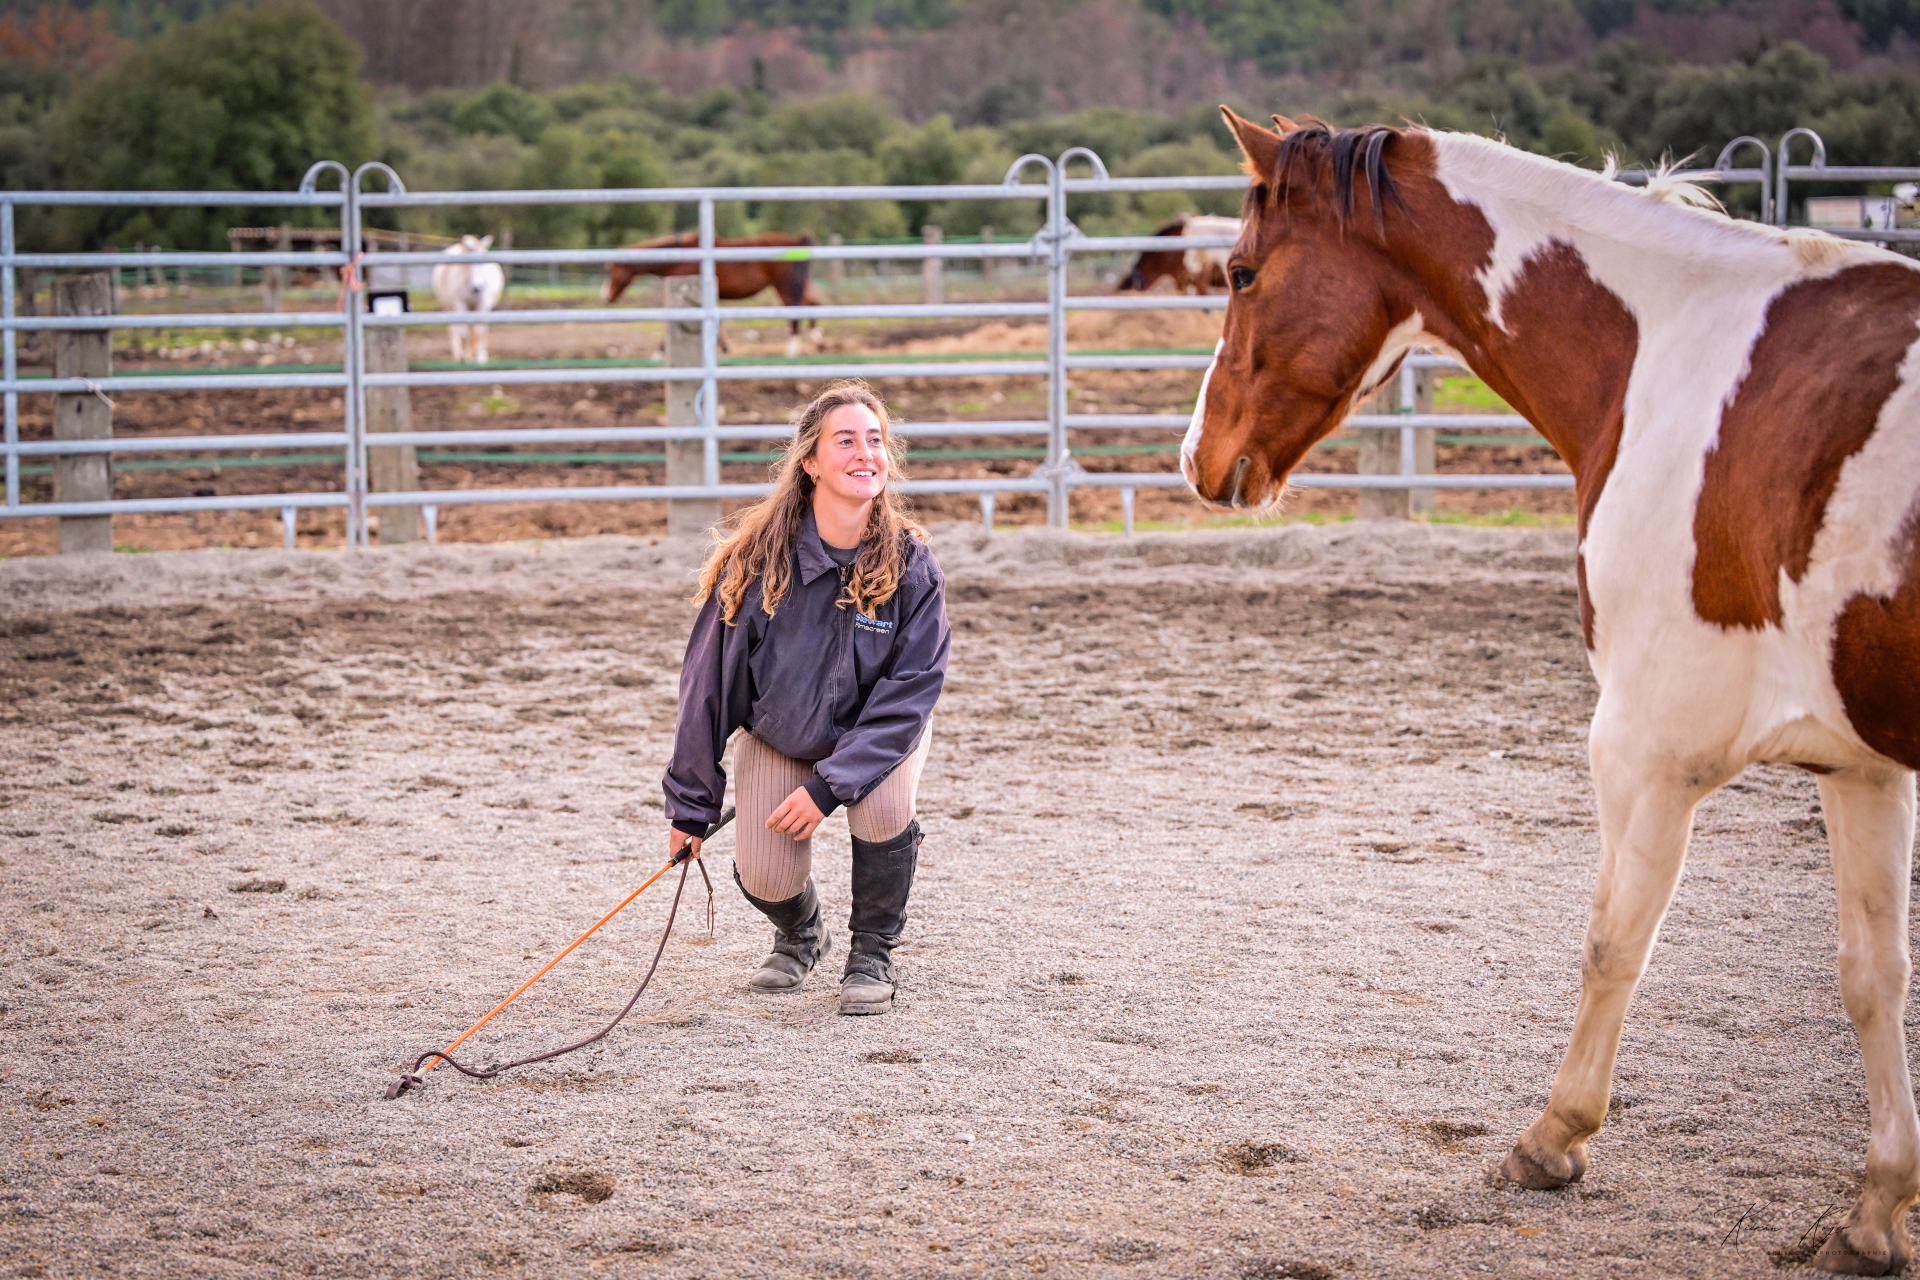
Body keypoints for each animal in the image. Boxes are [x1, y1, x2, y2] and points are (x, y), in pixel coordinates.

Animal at [430, 234, 507, 364]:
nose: (477, 287)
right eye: (469, 262)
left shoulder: (483, 305)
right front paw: (468, 357)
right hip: (450, 307)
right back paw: (458, 355)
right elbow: (464, 331)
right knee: (455, 329)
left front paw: (481, 358)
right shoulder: (461, 305)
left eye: (483, 263)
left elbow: (481, 331)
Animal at [603, 231, 822, 357]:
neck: (678, 259)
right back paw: (815, 340)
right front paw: (724, 349)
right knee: (813, 304)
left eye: (612, 270)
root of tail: (797, 241)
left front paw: (658, 353)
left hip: (785, 286)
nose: (606, 296)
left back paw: (792, 351)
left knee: (796, 311)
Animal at [1188, 108, 1920, 1276]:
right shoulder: (1859, 765)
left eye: (1244, 270)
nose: (1198, 457)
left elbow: (1614, 937)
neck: (1674, 354)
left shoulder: (1646, 749)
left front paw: (1553, 1137)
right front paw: (1877, 1207)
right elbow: (1872, 973)